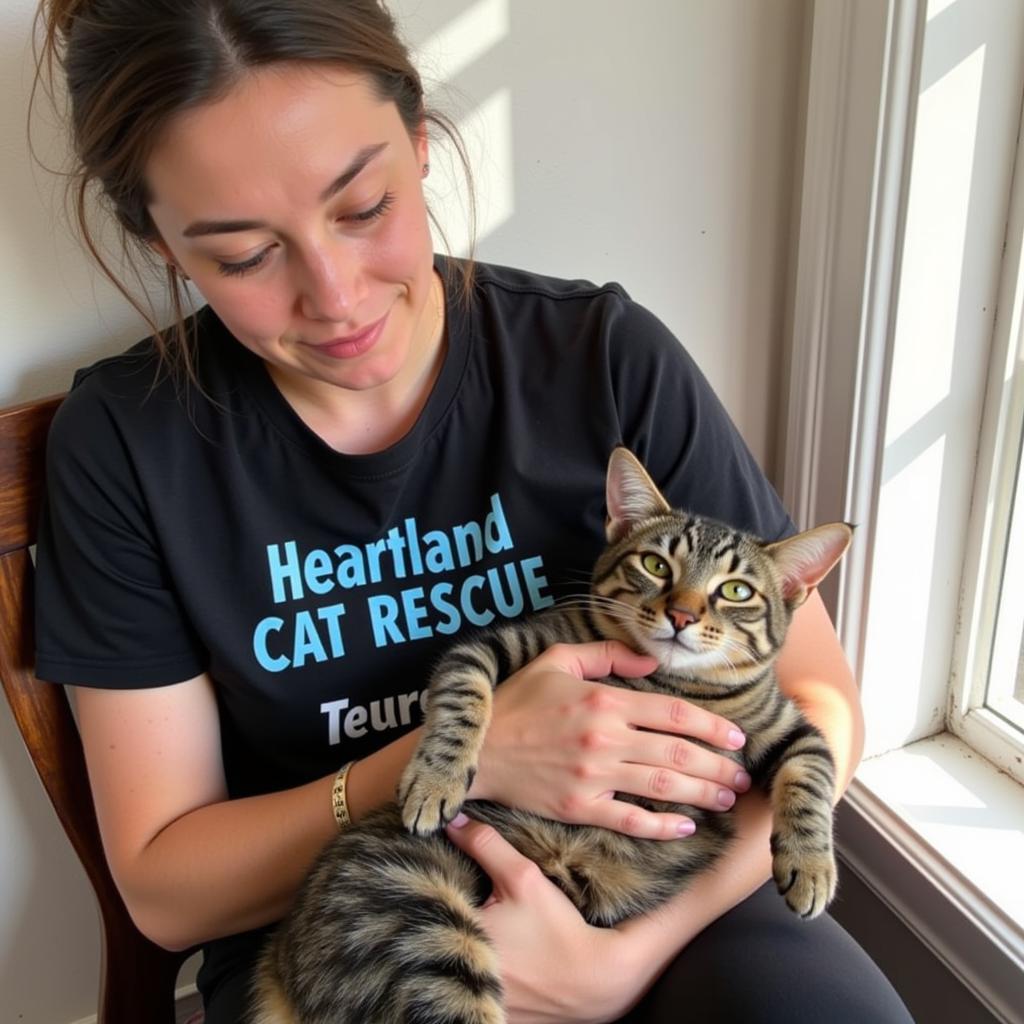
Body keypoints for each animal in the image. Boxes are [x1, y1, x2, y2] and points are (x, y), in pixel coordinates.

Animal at [251, 450, 851, 1024]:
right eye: (656, 564)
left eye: (735, 591)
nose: (681, 614)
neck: (666, 679)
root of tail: (280, 961)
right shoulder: (497, 648)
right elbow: (462, 694)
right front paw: (437, 778)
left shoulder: (789, 728)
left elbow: (813, 777)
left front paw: (812, 866)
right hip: (419, 924)